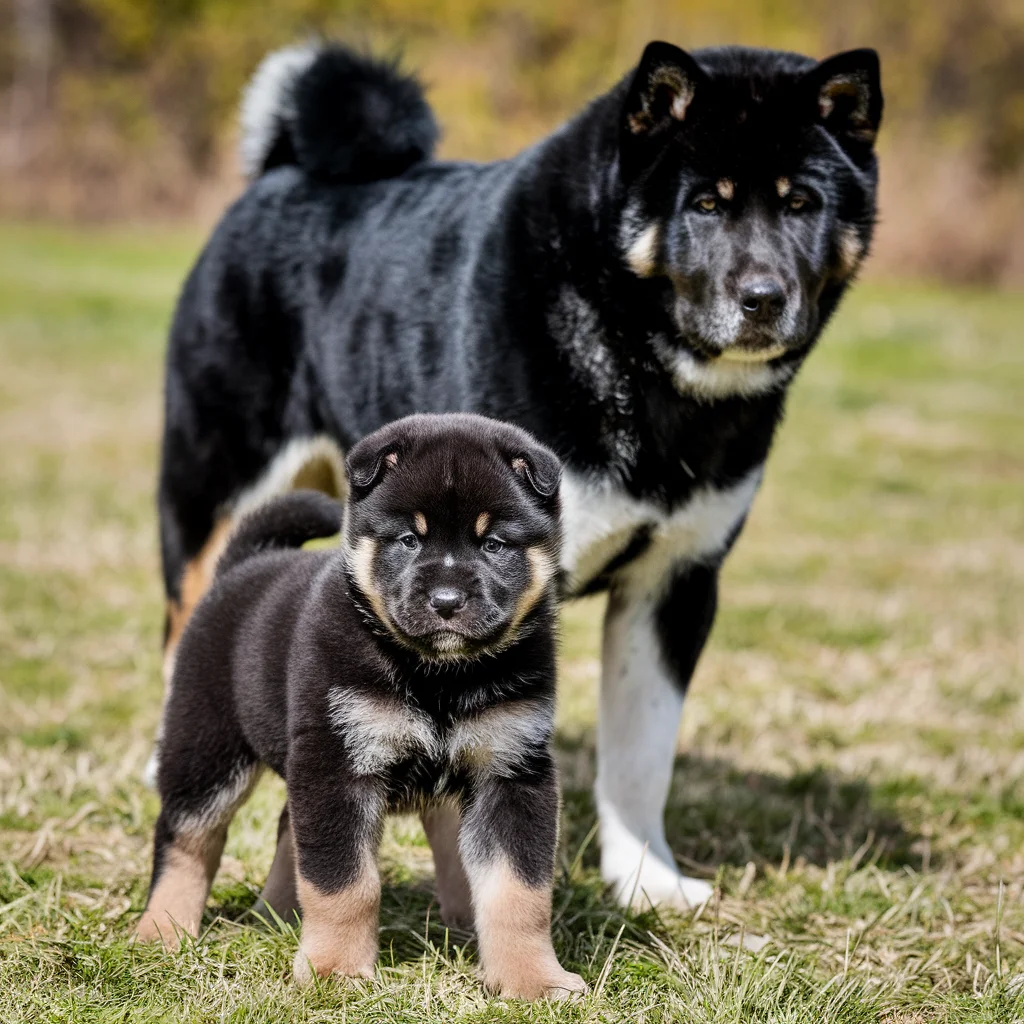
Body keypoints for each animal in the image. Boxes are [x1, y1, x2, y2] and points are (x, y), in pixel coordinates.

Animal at [157, 37, 880, 913]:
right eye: (706, 204)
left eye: (802, 203)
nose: (763, 296)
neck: (639, 361)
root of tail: (282, 170)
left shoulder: (676, 582)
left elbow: (642, 753)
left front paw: (644, 879)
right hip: (213, 494)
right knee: (187, 627)